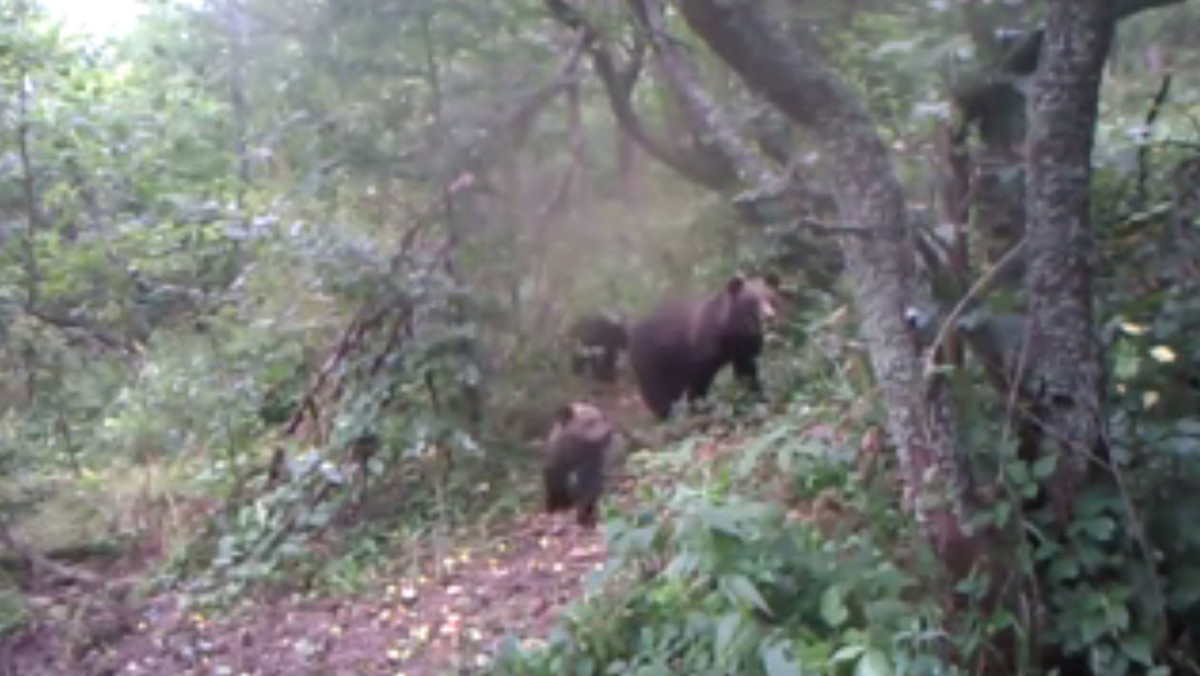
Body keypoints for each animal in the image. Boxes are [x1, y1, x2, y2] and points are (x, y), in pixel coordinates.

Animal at [628, 273, 787, 420]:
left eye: (770, 298)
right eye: (752, 302)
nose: (769, 317)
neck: (730, 333)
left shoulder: (743, 349)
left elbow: (747, 371)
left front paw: (757, 395)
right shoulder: (702, 350)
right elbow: (699, 377)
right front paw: (699, 406)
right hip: (653, 361)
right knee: (658, 389)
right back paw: (667, 413)